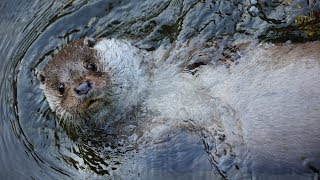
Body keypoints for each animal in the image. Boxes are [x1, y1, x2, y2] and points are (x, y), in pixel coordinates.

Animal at [38, 37, 320, 175]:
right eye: (60, 87)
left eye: (91, 65)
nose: (82, 88)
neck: (156, 94)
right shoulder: (146, 132)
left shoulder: (176, 57)